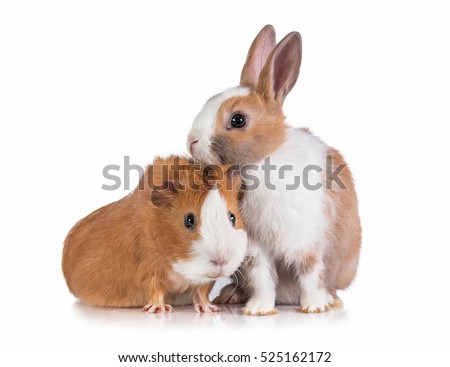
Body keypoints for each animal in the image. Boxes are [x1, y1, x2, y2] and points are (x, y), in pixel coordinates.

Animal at [186, 24, 362, 314]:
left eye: (238, 120)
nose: (191, 142)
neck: (259, 164)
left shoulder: (305, 242)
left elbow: (310, 273)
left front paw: (314, 307)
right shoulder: (256, 248)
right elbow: (262, 277)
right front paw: (259, 309)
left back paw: (329, 300)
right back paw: (231, 296)